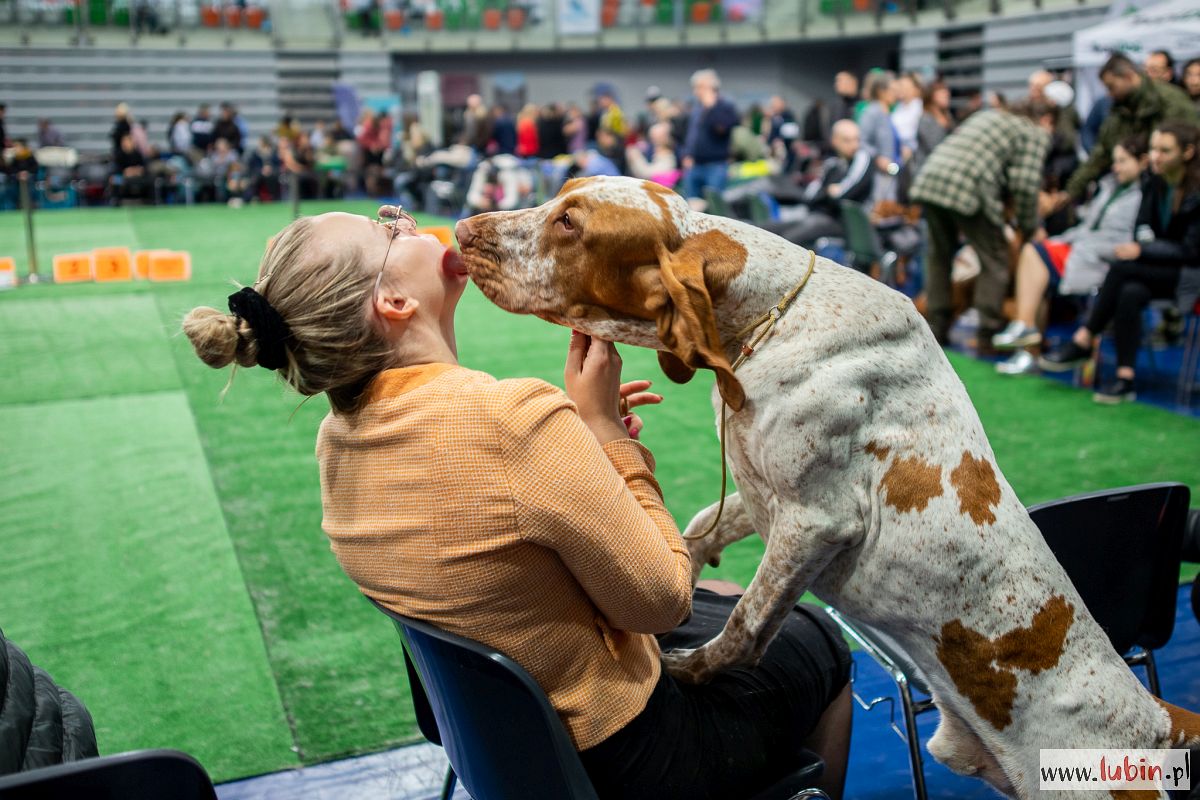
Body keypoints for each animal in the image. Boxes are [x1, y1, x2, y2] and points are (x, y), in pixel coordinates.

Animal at [451, 178, 1200, 796]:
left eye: (569, 222)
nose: (460, 228)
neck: (763, 319)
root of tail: (1156, 719)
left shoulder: (816, 521)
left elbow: (747, 623)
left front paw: (688, 668)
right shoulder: (760, 492)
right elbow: (696, 528)